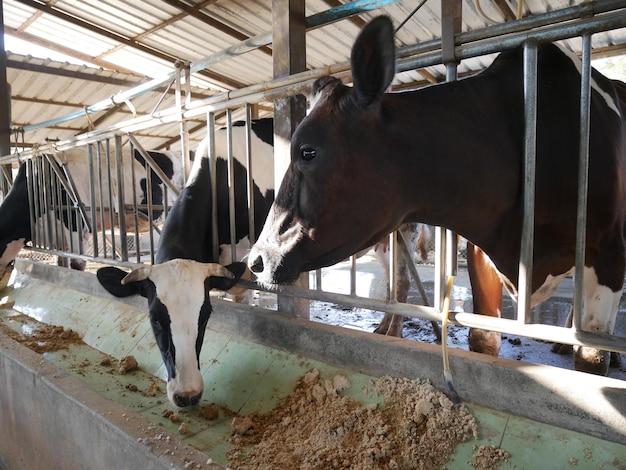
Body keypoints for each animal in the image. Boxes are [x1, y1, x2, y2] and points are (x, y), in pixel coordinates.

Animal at [249, 16, 624, 374]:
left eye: (307, 152)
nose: (257, 260)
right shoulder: (481, 249)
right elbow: (483, 339)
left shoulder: (607, 250)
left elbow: (592, 357)